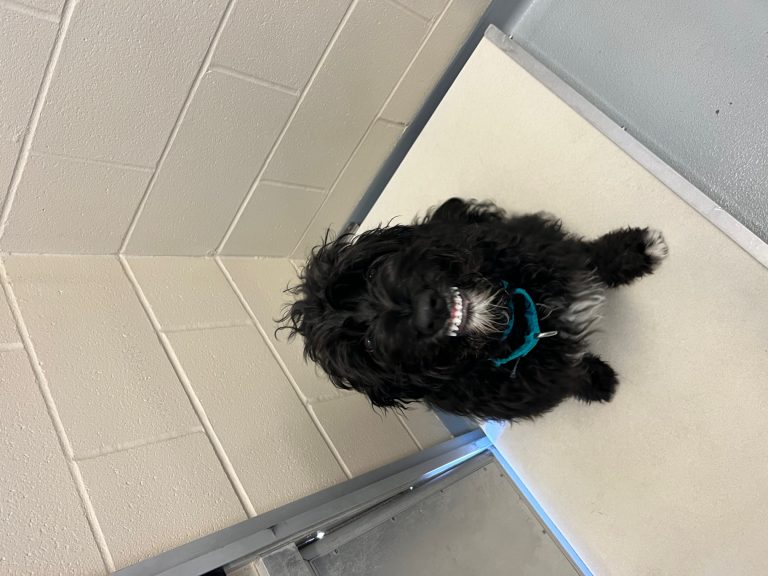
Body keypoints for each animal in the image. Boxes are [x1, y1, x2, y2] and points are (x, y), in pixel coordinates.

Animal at [282, 198, 667, 421]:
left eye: (370, 273)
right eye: (368, 346)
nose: (427, 312)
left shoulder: (554, 255)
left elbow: (589, 256)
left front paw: (638, 249)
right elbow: (572, 376)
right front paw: (598, 381)